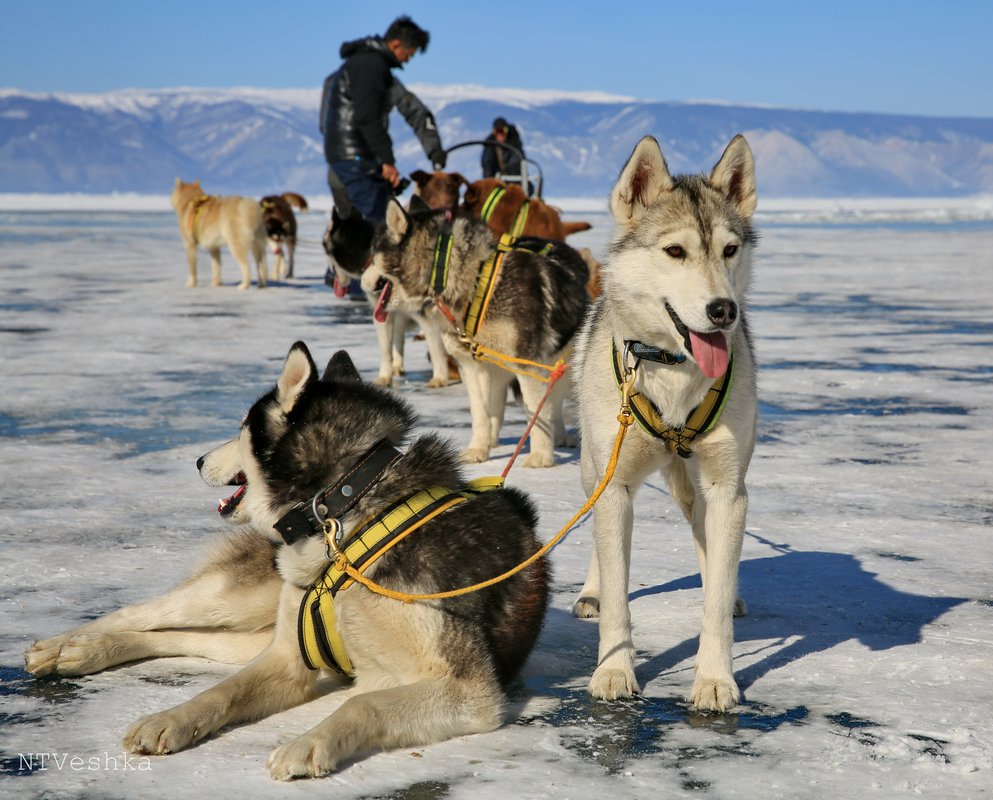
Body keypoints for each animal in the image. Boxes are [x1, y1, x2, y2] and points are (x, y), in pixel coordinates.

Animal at [25, 340, 552, 780]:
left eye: (241, 430)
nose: (197, 460)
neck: (344, 518)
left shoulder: (468, 690)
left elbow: (361, 705)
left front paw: (308, 743)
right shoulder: (288, 657)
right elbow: (223, 691)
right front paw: (171, 719)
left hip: (251, 629)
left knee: (182, 638)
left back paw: (84, 652)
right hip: (240, 600)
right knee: (144, 612)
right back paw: (67, 647)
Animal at [364, 196, 588, 466]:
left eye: (372, 256)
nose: (362, 281)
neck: (475, 282)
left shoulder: (528, 365)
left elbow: (538, 414)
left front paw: (541, 456)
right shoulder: (471, 366)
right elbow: (480, 414)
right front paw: (478, 450)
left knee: (557, 399)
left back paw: (562, 435)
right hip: (499, 369)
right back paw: (494, 440)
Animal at [568, 134, 756, 708]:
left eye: (729, 250)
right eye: (675, 252)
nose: (723, 310)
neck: (673, 372)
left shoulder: (726, 487)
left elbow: (716, 601)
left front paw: (714, 678)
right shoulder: (615, 486)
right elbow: (619, 594)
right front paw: (613, 671)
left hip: (698, 488)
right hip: (595, 468)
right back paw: (592, 592)